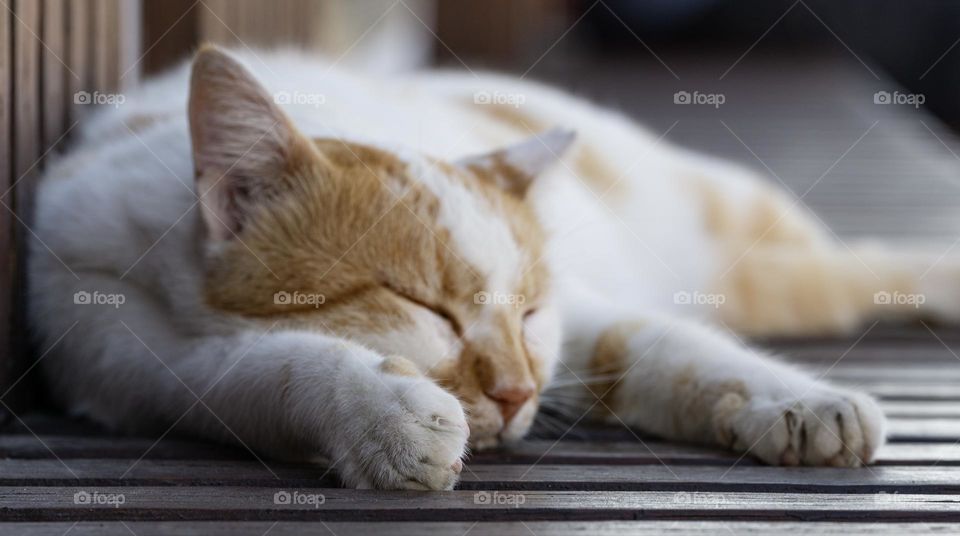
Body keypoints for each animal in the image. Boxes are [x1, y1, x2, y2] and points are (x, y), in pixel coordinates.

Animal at [28, 46, 952, 490]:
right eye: (423, 308)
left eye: (530, 311)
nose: (516, 392)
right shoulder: (127, 351)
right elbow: (264, 365)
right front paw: (383, 412)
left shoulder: (582, 320)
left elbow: (673, 348)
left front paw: (801, 401)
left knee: (849, 268)